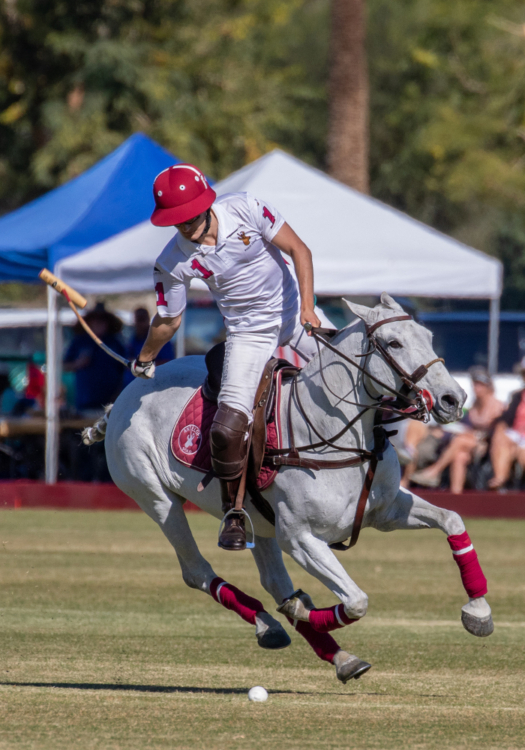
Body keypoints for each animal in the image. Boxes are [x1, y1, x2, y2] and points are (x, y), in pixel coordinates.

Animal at [88, 296, 494, 688]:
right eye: (394, 343)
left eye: (428, 337)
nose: (453, 399)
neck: (336, 435)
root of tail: (126, 394)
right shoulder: (300, 537)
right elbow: (357, 601)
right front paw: (302, 610)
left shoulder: (388, 509)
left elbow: (452, 520)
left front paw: (478, 612)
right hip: (154, 496)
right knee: (196, 570)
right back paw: (270, 623)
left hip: (257, 520)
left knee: (273, 580)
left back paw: (336, 655)